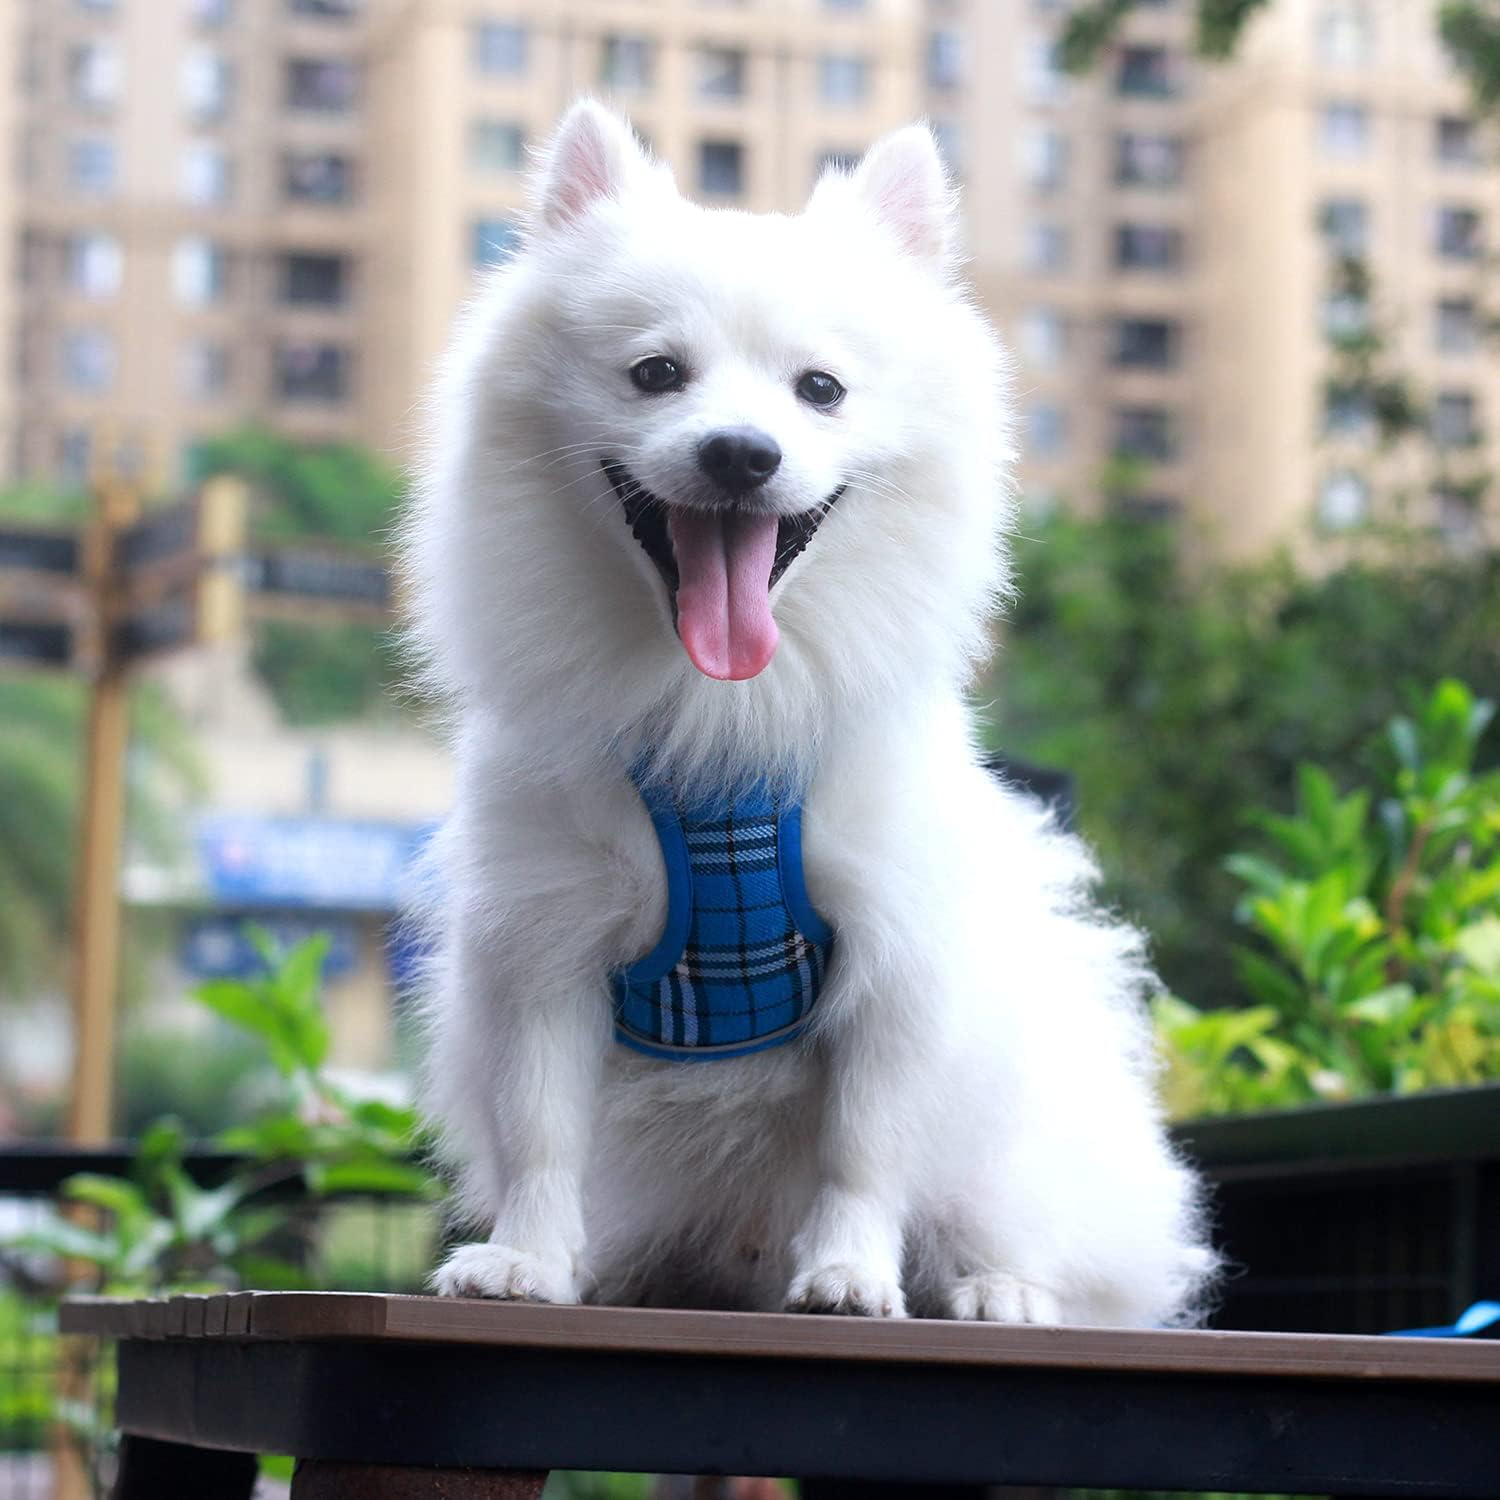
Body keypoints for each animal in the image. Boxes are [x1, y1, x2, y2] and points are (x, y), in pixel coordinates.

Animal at [403, 100, 1215, 1325]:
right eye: (656, 373)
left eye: (819, 389)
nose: (743, 452)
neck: (718, 718)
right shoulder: (544, 941)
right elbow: (541, 1128)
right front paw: (527, 1262)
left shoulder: (893, 957)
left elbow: (862, 1147)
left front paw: (848, 1274)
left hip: (1019, 1149)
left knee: (1037, 1238)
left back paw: (997, 1288)